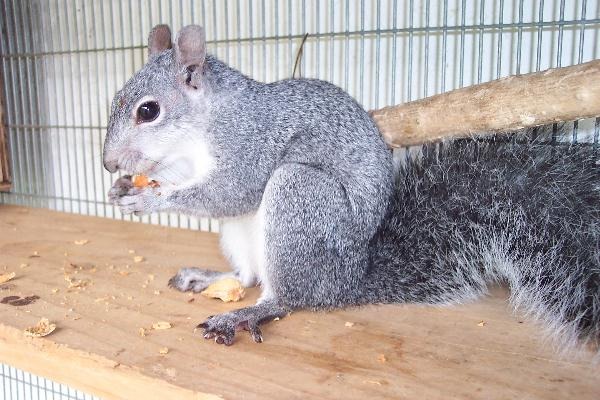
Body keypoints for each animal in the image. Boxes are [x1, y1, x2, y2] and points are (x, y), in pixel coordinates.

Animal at [104, 24, 600, 354]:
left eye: (148, 111)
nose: (108, 162)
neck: (197, 133)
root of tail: (349, 280)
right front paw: (122, 187)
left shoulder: (251, 140)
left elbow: (231, 192)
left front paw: (148, 197)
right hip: (241, 235)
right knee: (247, 276)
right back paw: (210, 278)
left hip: (301, 195)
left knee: (288, 297)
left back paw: (245, 313)